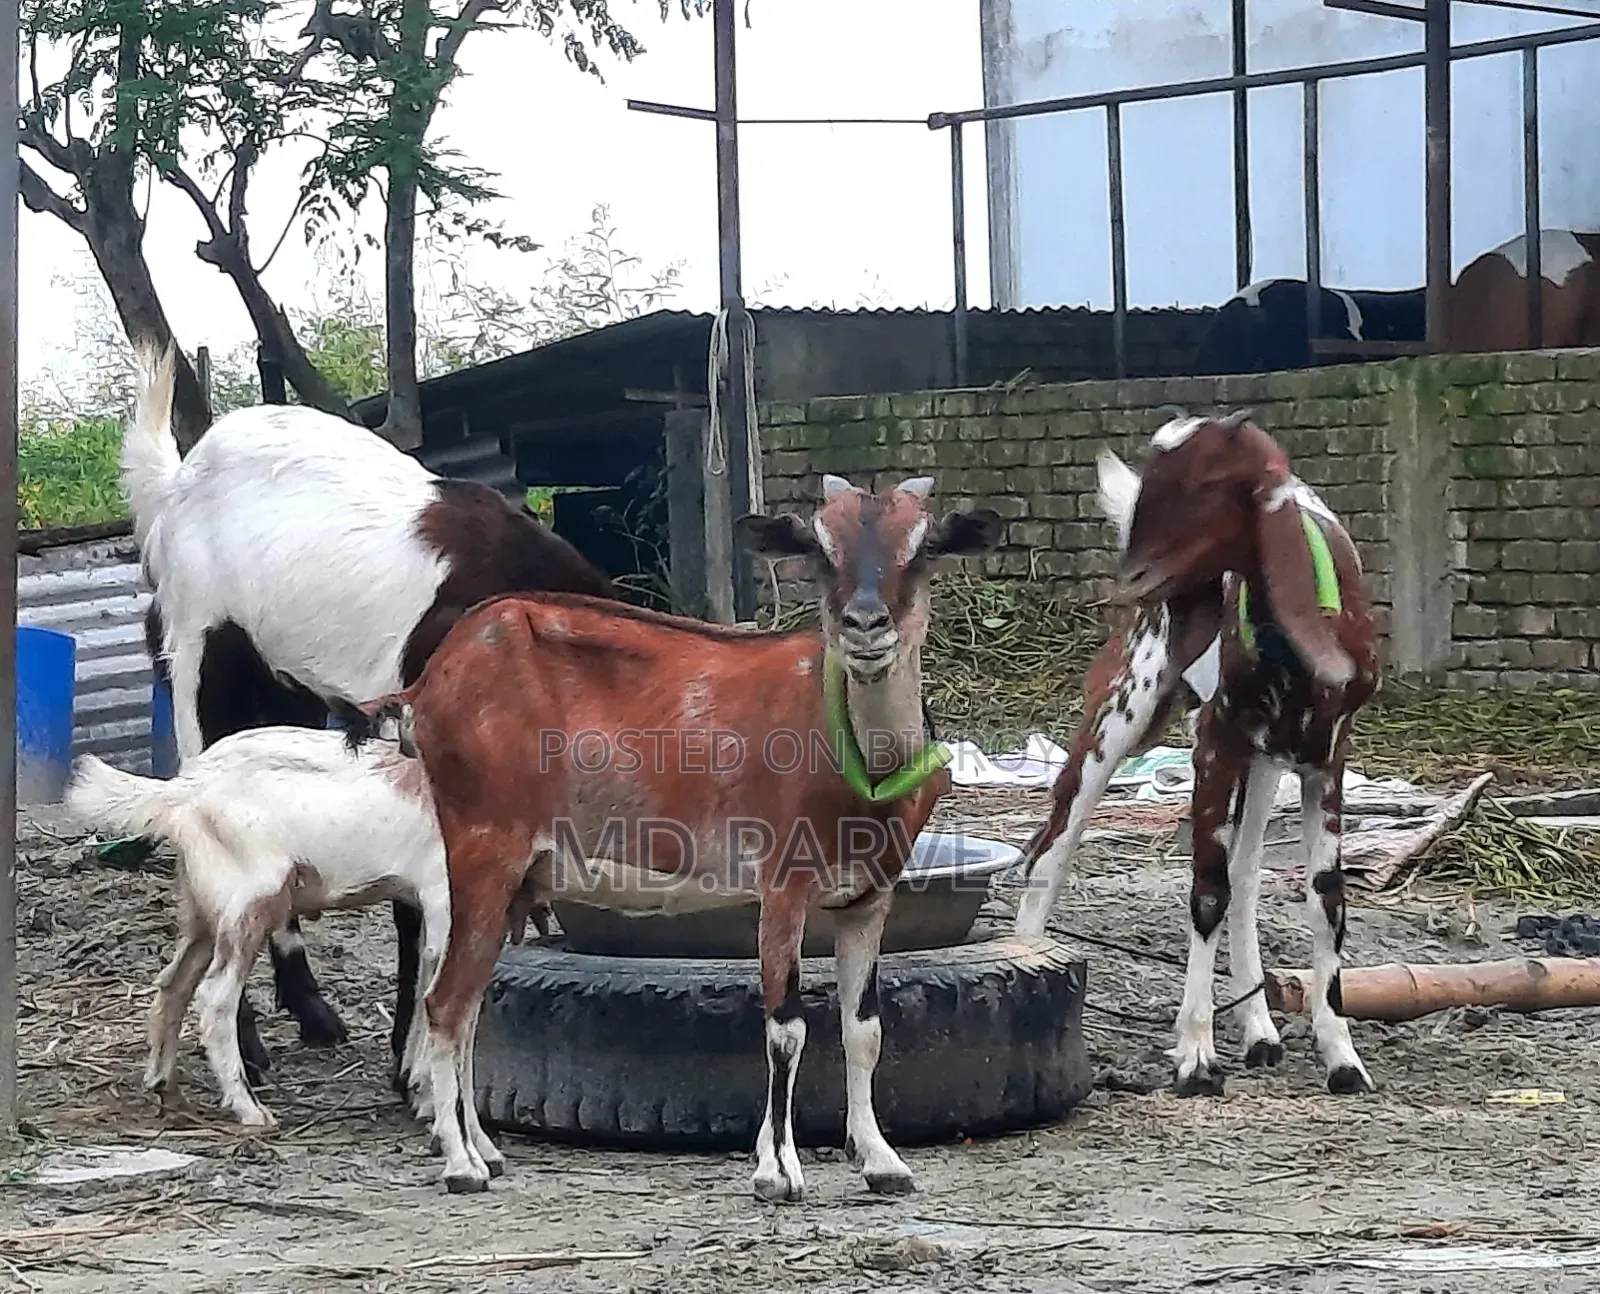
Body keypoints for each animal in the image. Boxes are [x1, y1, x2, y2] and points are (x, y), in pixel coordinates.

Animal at [62, 727, 454, 1129]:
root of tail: (187, 789)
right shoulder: (442, 901)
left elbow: (425, 991)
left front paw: (419, 1090)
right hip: (249, 901)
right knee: (216, 996)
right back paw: (248, 1107)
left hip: (206, 908)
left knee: (175, 983)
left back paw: (163, 1083)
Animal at [123, 344, 615, 1095]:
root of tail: (176, 479)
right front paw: (412, 1063)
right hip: (200, 657)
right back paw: (251, 1046)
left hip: (286, 681)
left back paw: (311, 1011)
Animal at [336, 474, 1003, 1196]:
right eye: (822, 549)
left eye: (925, 547)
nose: (865, 625)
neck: (860, 759)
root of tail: (427, 683)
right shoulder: (783, 881)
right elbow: (786, 1026)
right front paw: (778, 1171)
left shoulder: (869, 896)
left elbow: (865, 1029)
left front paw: (881, 1160)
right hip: (483, 845)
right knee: (446, 1002)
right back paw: (460, 1163)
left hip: (516, 876)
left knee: (471, 1006)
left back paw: (486, 1150)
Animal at [1013, 412, 1379, 1098]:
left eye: (1209, 485)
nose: (1131, 581)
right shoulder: (1215, 742)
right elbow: (1206, 891)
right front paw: (1195, 1057)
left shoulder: (1325, 758)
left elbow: (1326, 899)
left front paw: (1342, 1058)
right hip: (1125, 707)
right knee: (1052, 844)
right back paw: (1024, 961)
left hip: (1264, 761)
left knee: (1248, 871)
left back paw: (1261, 1032)